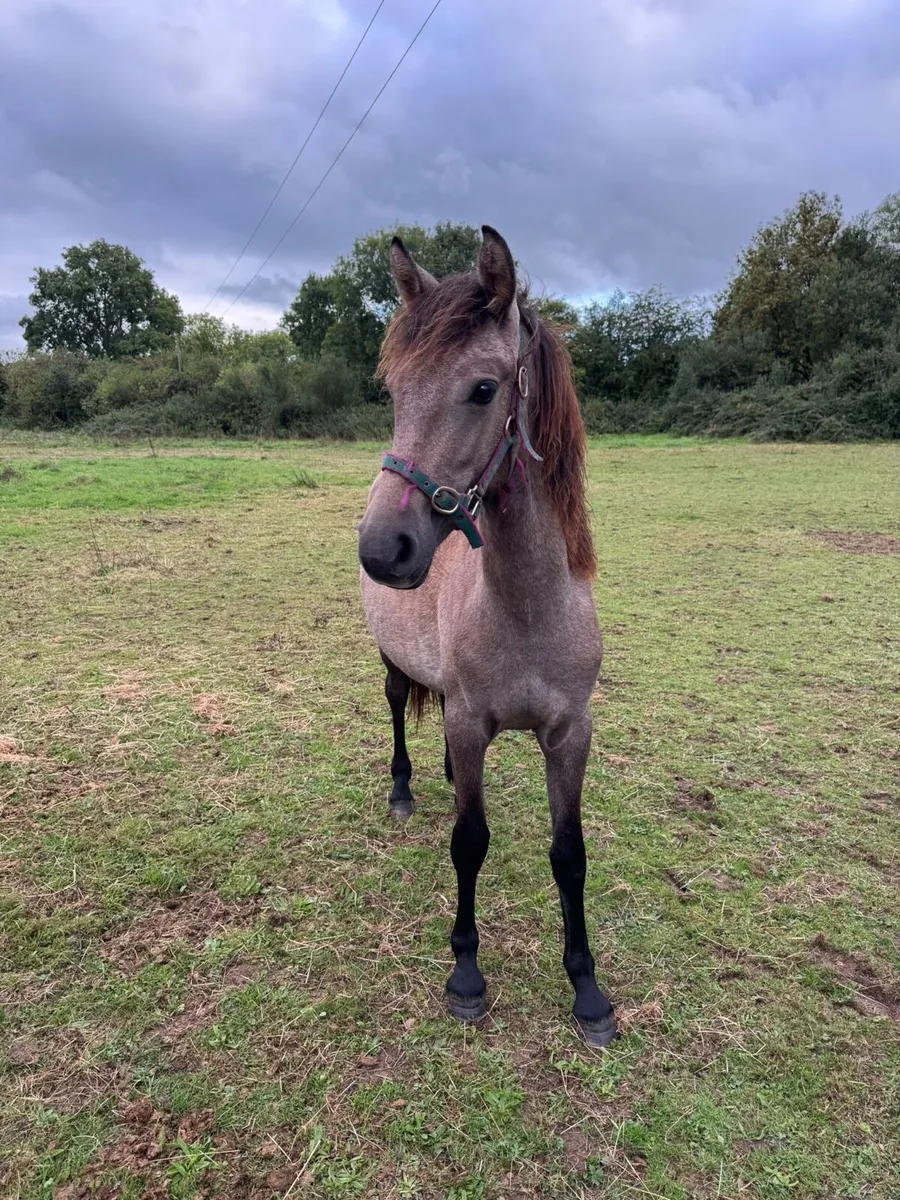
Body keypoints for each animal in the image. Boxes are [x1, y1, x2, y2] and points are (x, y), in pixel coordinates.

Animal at [356, 226, 616, 1047]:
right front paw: (466, 976)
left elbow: (570, 853)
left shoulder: (569, 732)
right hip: (391, 662)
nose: (383, 549)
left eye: (482, 389)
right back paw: (406, 788)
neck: (529, 608)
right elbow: (468, 842)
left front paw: (587, 990)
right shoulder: (473, 722)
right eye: (394, 391)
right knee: (397, 705)